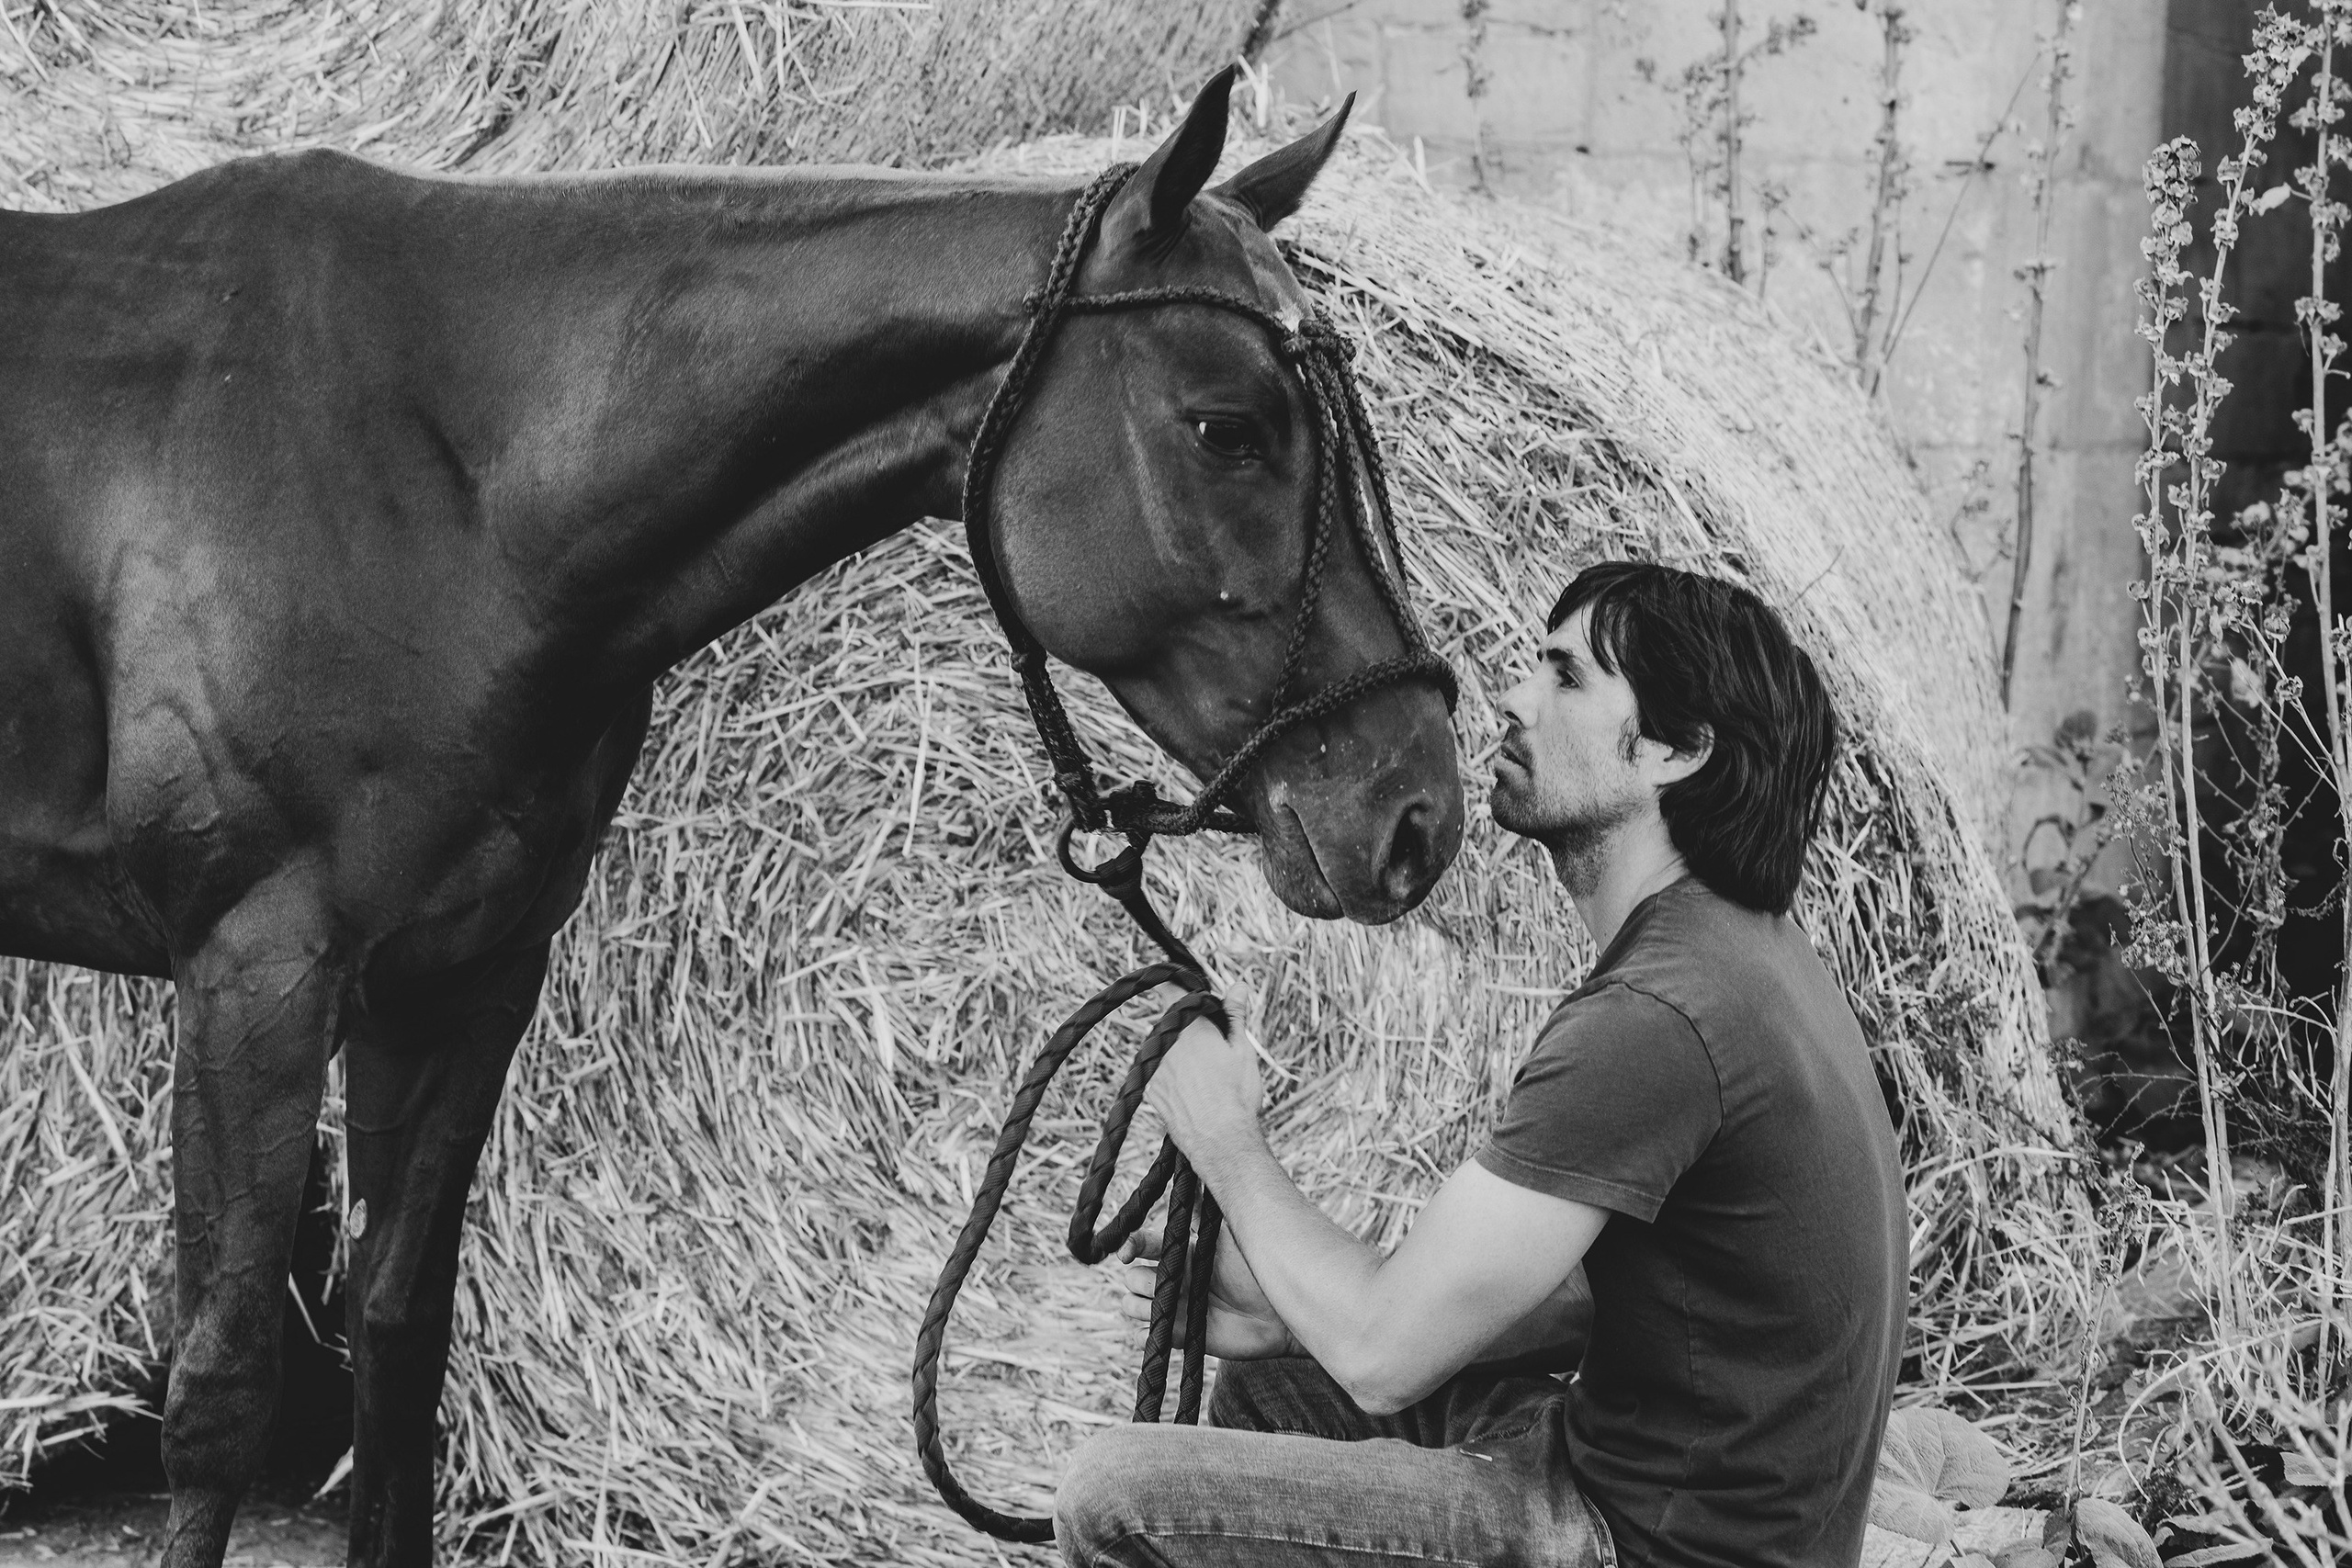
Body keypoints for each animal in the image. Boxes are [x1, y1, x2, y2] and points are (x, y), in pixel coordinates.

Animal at [0, 68, 1465, 1567]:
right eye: (1229, 427)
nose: (1417, 808)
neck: (439, 482)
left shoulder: (457, 982)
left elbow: (399, 1345)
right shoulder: (258, 973)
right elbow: (223, 1385)